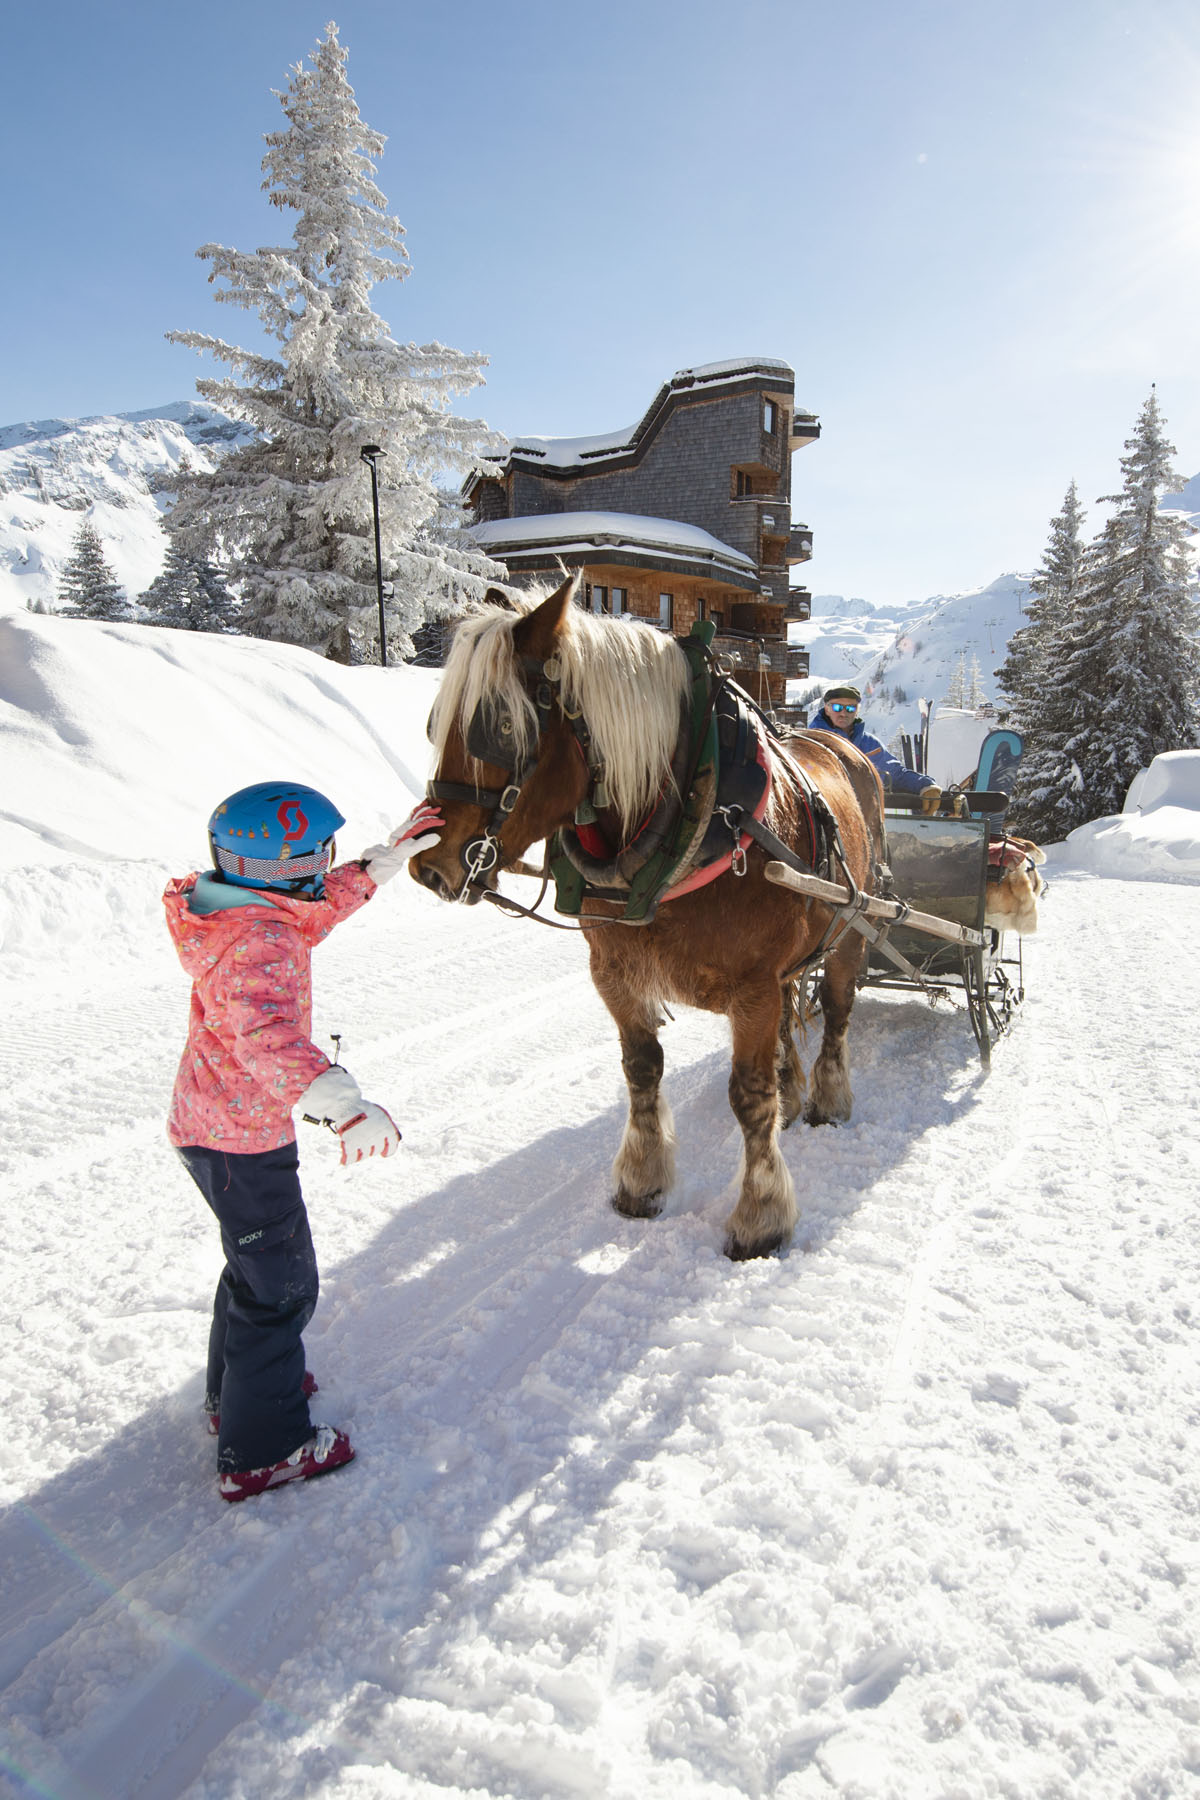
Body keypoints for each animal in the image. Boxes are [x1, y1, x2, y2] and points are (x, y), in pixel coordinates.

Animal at [413, 575, 887, 1260]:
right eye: (435, 724)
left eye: (499, 725)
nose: (429, 866)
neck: (698, 810)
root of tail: (844, 745)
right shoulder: (614, 972)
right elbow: (642, 1071)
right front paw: (641, 1182)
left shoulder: (752, 988)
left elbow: (749, 1096)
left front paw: (761, 1215)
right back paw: (795, 1092)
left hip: (852, 928)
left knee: (838, 1012)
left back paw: (827, 1096)